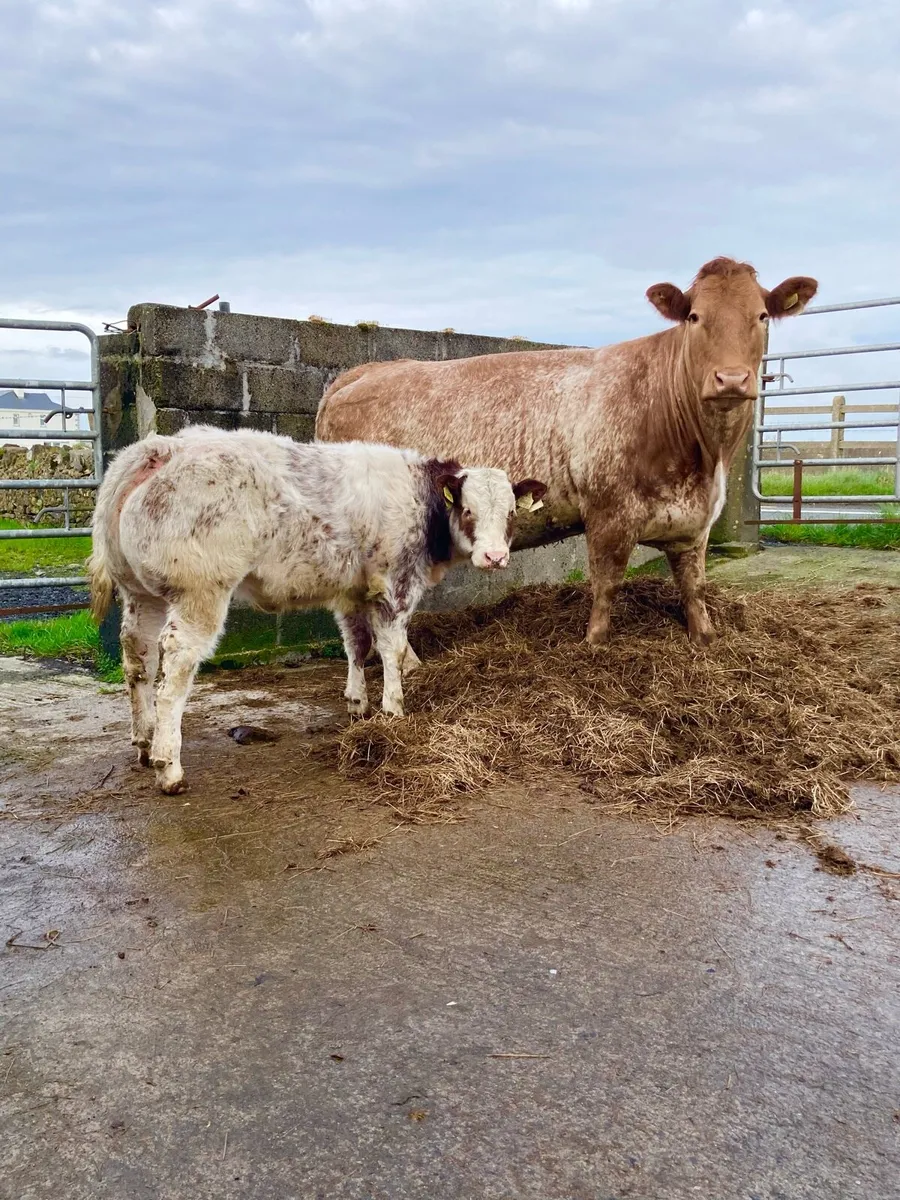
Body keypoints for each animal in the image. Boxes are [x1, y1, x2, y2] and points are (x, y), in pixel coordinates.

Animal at [89, 426, 546, 794]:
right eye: (467, 509)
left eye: (510, 512)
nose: (494, 557)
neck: (422, 502)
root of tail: (163, 447)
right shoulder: (396, 584)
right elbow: (392, 650)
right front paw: (393, 710)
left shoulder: (351, 591)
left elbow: (357, 645)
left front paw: (358, 705)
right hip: (199, 592)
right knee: (174, 672)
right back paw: (169, 767)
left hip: (139, 594)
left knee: (138, 659)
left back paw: (144, 742)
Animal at [316, 258, 818, 647]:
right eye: (694, 317)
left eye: (762, 316)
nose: (731, 379)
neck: (702, 460)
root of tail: (361, 373)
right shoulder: (609, 513)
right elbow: (607, 584)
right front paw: (594, 644)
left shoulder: (695, 521)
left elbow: (693, 585)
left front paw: (705, 637)